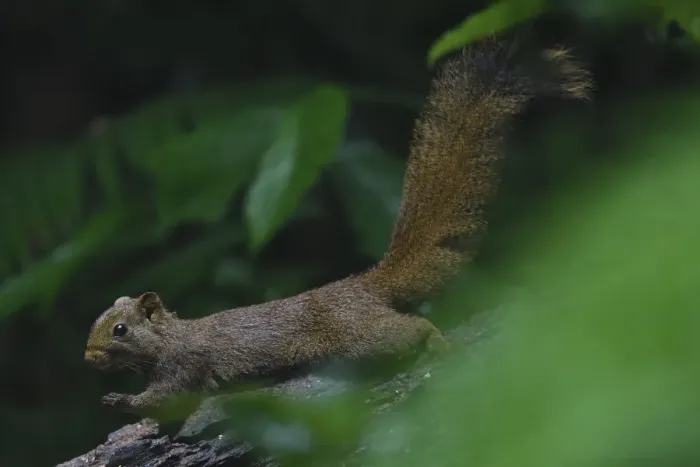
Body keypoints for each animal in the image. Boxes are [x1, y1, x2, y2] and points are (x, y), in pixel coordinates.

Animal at [84, 38, 592, 415]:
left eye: (120, 330)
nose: (88, 357)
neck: (171, 336)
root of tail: (362, 288)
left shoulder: (183, 366)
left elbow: (166, 398)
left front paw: (122, 400)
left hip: (363, 338)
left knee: (411, 327)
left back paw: (437, 342)